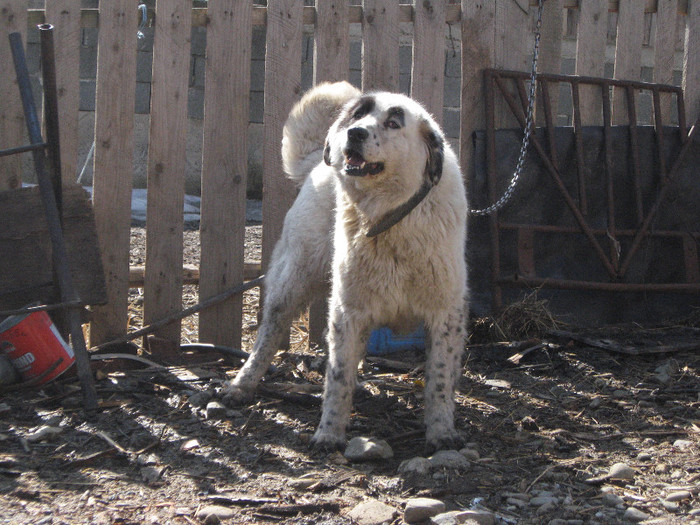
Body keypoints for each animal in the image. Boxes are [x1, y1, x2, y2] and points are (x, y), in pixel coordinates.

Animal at [224, 81, 468, 450]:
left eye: (393, 122)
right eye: (357, 115)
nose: (354, 133)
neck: (387, 219)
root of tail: (318, 162)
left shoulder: (445, 314)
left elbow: (439, 378)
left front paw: (441, 431)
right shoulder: (347, 310)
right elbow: (337, 376)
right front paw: (329, 432)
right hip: (293, 280)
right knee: (268, 336)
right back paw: (243, 383)